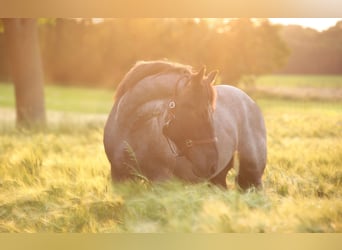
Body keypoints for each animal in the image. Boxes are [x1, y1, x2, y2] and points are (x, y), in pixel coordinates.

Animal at [104, 61, 268, 189]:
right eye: (197, 111)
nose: (211, 165)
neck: (130, 130)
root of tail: (249, 101)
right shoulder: (119, 177)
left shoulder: (161, 180)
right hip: (217, 179)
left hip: (253, 173)